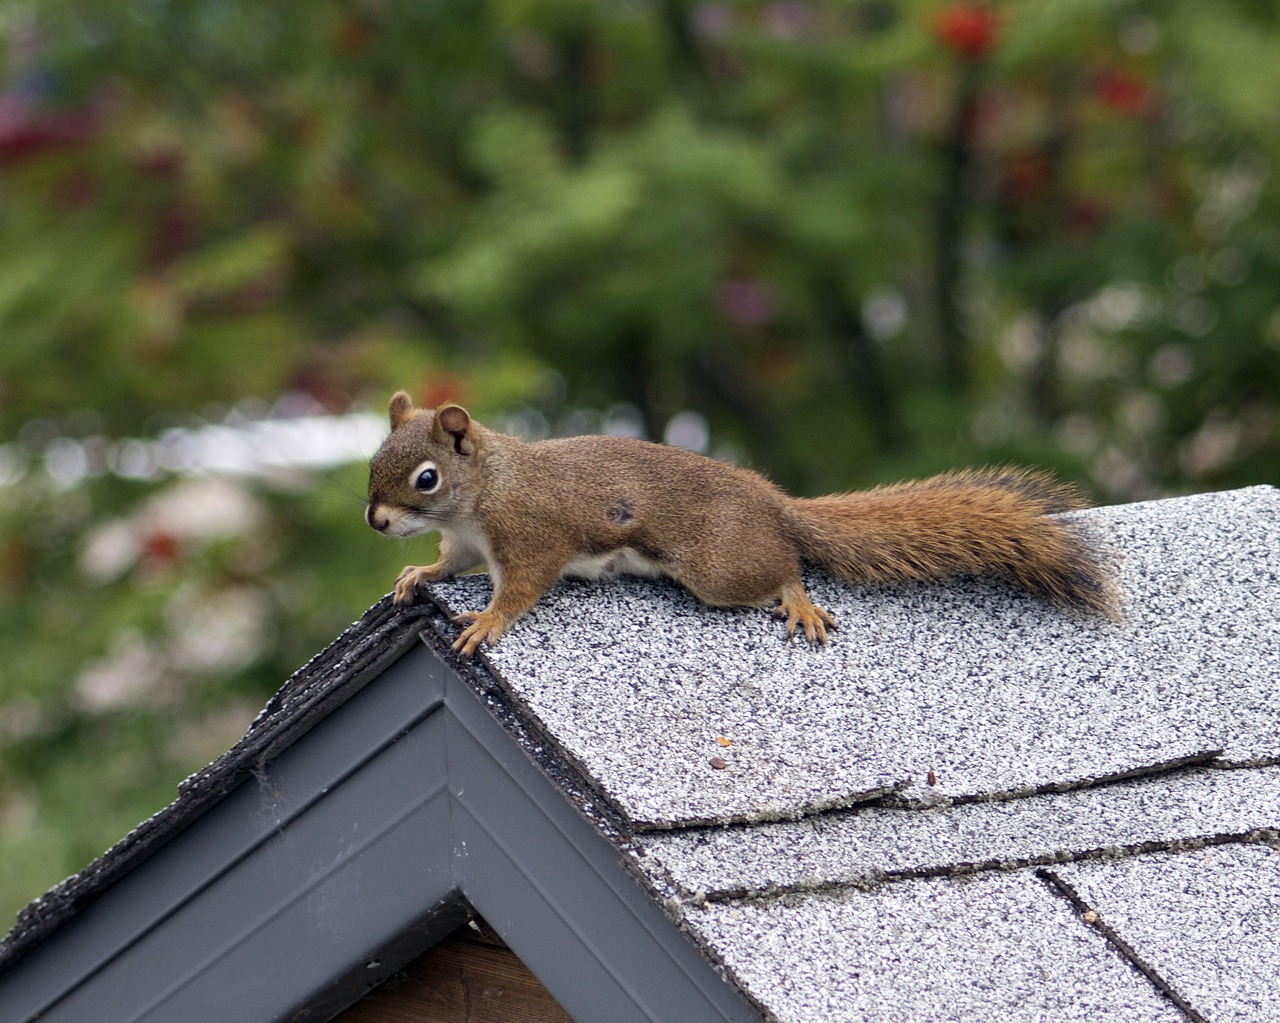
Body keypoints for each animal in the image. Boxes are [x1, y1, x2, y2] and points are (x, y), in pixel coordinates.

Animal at [366, 391, 1116, 655]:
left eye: (426, 478)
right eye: (374, 461)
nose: (375, 521)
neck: (484, 490)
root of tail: (773, 502)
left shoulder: (530, 536)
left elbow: (520, 588)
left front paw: (487, 622)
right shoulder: (467, 545)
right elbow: (448, 565)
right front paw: (414, 574)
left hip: (719, 568)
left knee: (783, 569)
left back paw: (799, 601)